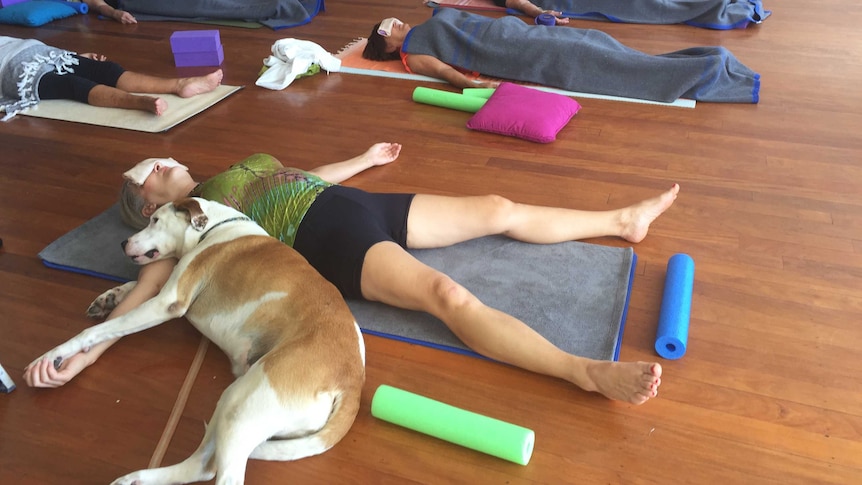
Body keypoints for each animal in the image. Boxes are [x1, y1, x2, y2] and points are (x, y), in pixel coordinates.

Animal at [30, 198, 366, 484]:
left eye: (154, 220)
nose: (123, 243)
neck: (213, 227)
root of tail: (351, 382)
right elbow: (129, 288)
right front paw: (109, 298)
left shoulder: (167, 302)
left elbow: (97, 331)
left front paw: (53, 356)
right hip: (234, 403)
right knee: (202, 466)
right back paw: (136, 478)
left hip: (243, 404)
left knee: (219, 472)